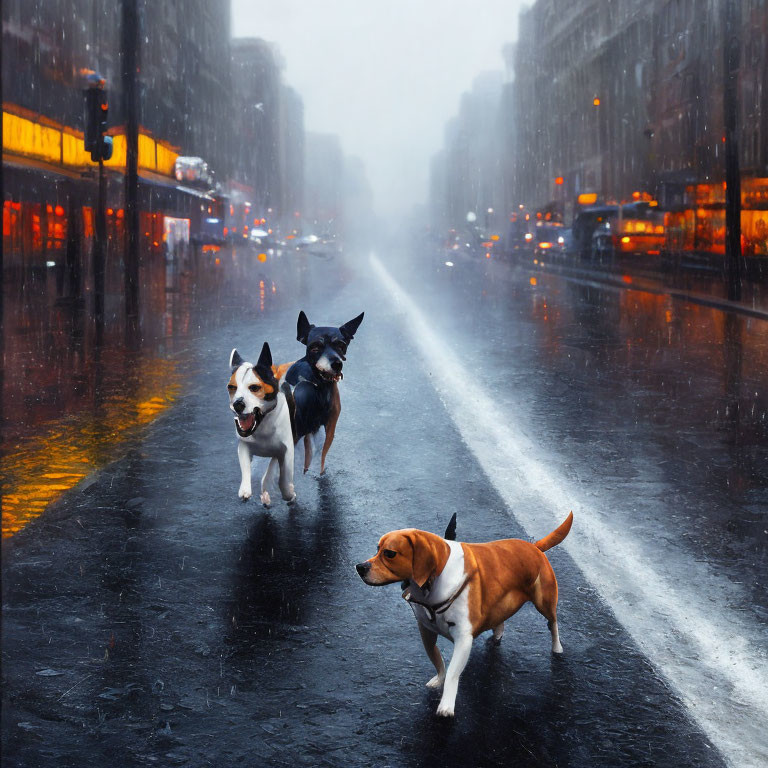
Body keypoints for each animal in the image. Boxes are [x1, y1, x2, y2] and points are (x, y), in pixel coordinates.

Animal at [284, 308, 364, 472]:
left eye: (341, 346)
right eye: (315, 348)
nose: (336, 364)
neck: (319, 386)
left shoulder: (329, 427)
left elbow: (320, 456)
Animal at [356, 512, 572, 716]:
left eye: (389, 553)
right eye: (377, 549)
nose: (359, 567)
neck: (433, 581)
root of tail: (535, 547)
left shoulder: (463, 639)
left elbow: (453, 671)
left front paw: (446, 705)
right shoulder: (427, 632)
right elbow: (437, 660)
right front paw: (438, 680)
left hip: (545, 603)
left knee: (552, 624)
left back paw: (557, 647)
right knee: (501, 619)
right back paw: (498, 634)